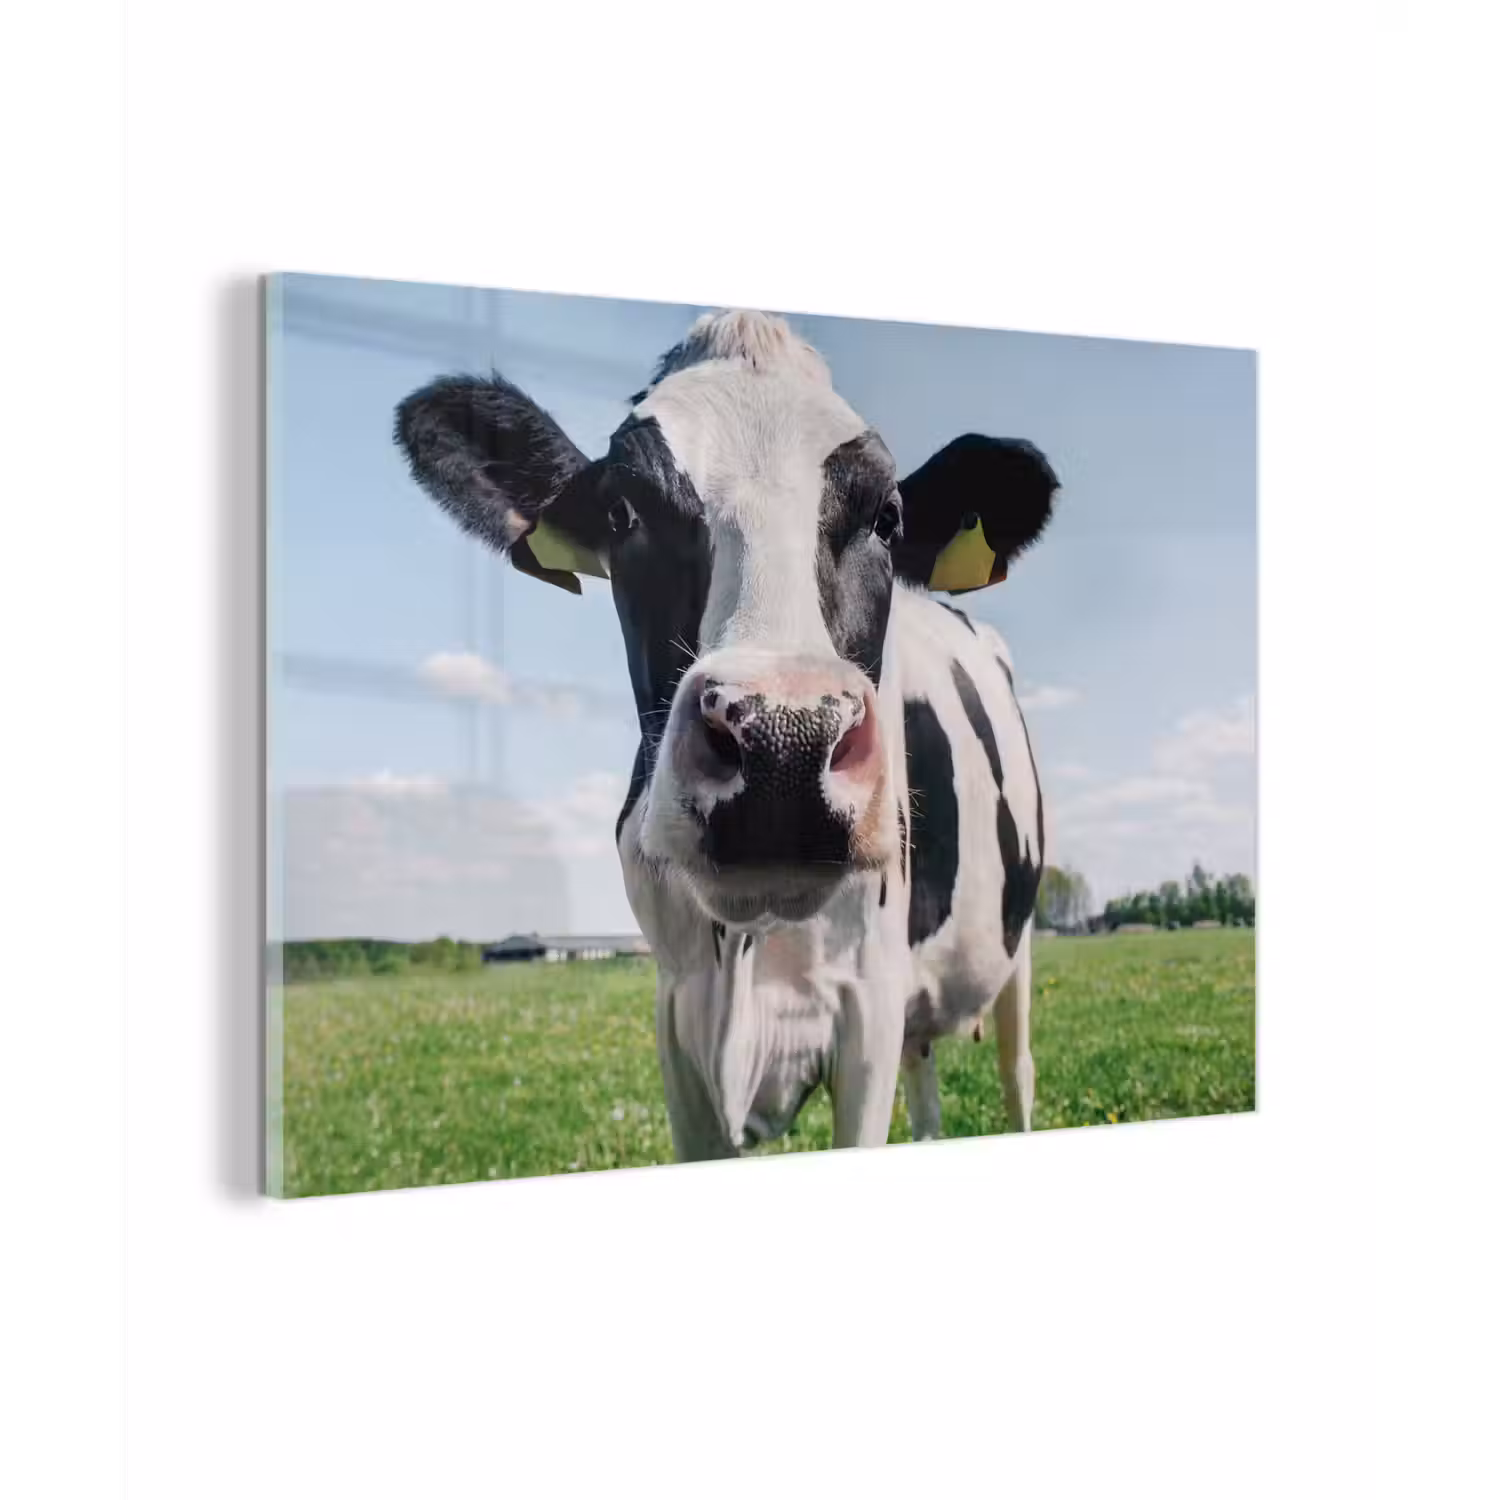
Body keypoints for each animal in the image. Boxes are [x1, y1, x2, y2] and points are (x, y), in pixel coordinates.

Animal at [394, 310, 1058, 1159]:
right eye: (623, 513)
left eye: (887, 517)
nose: (785, 743)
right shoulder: (679, 1017)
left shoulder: (868, 1006)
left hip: (1017, 947)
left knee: (1019, 1071)